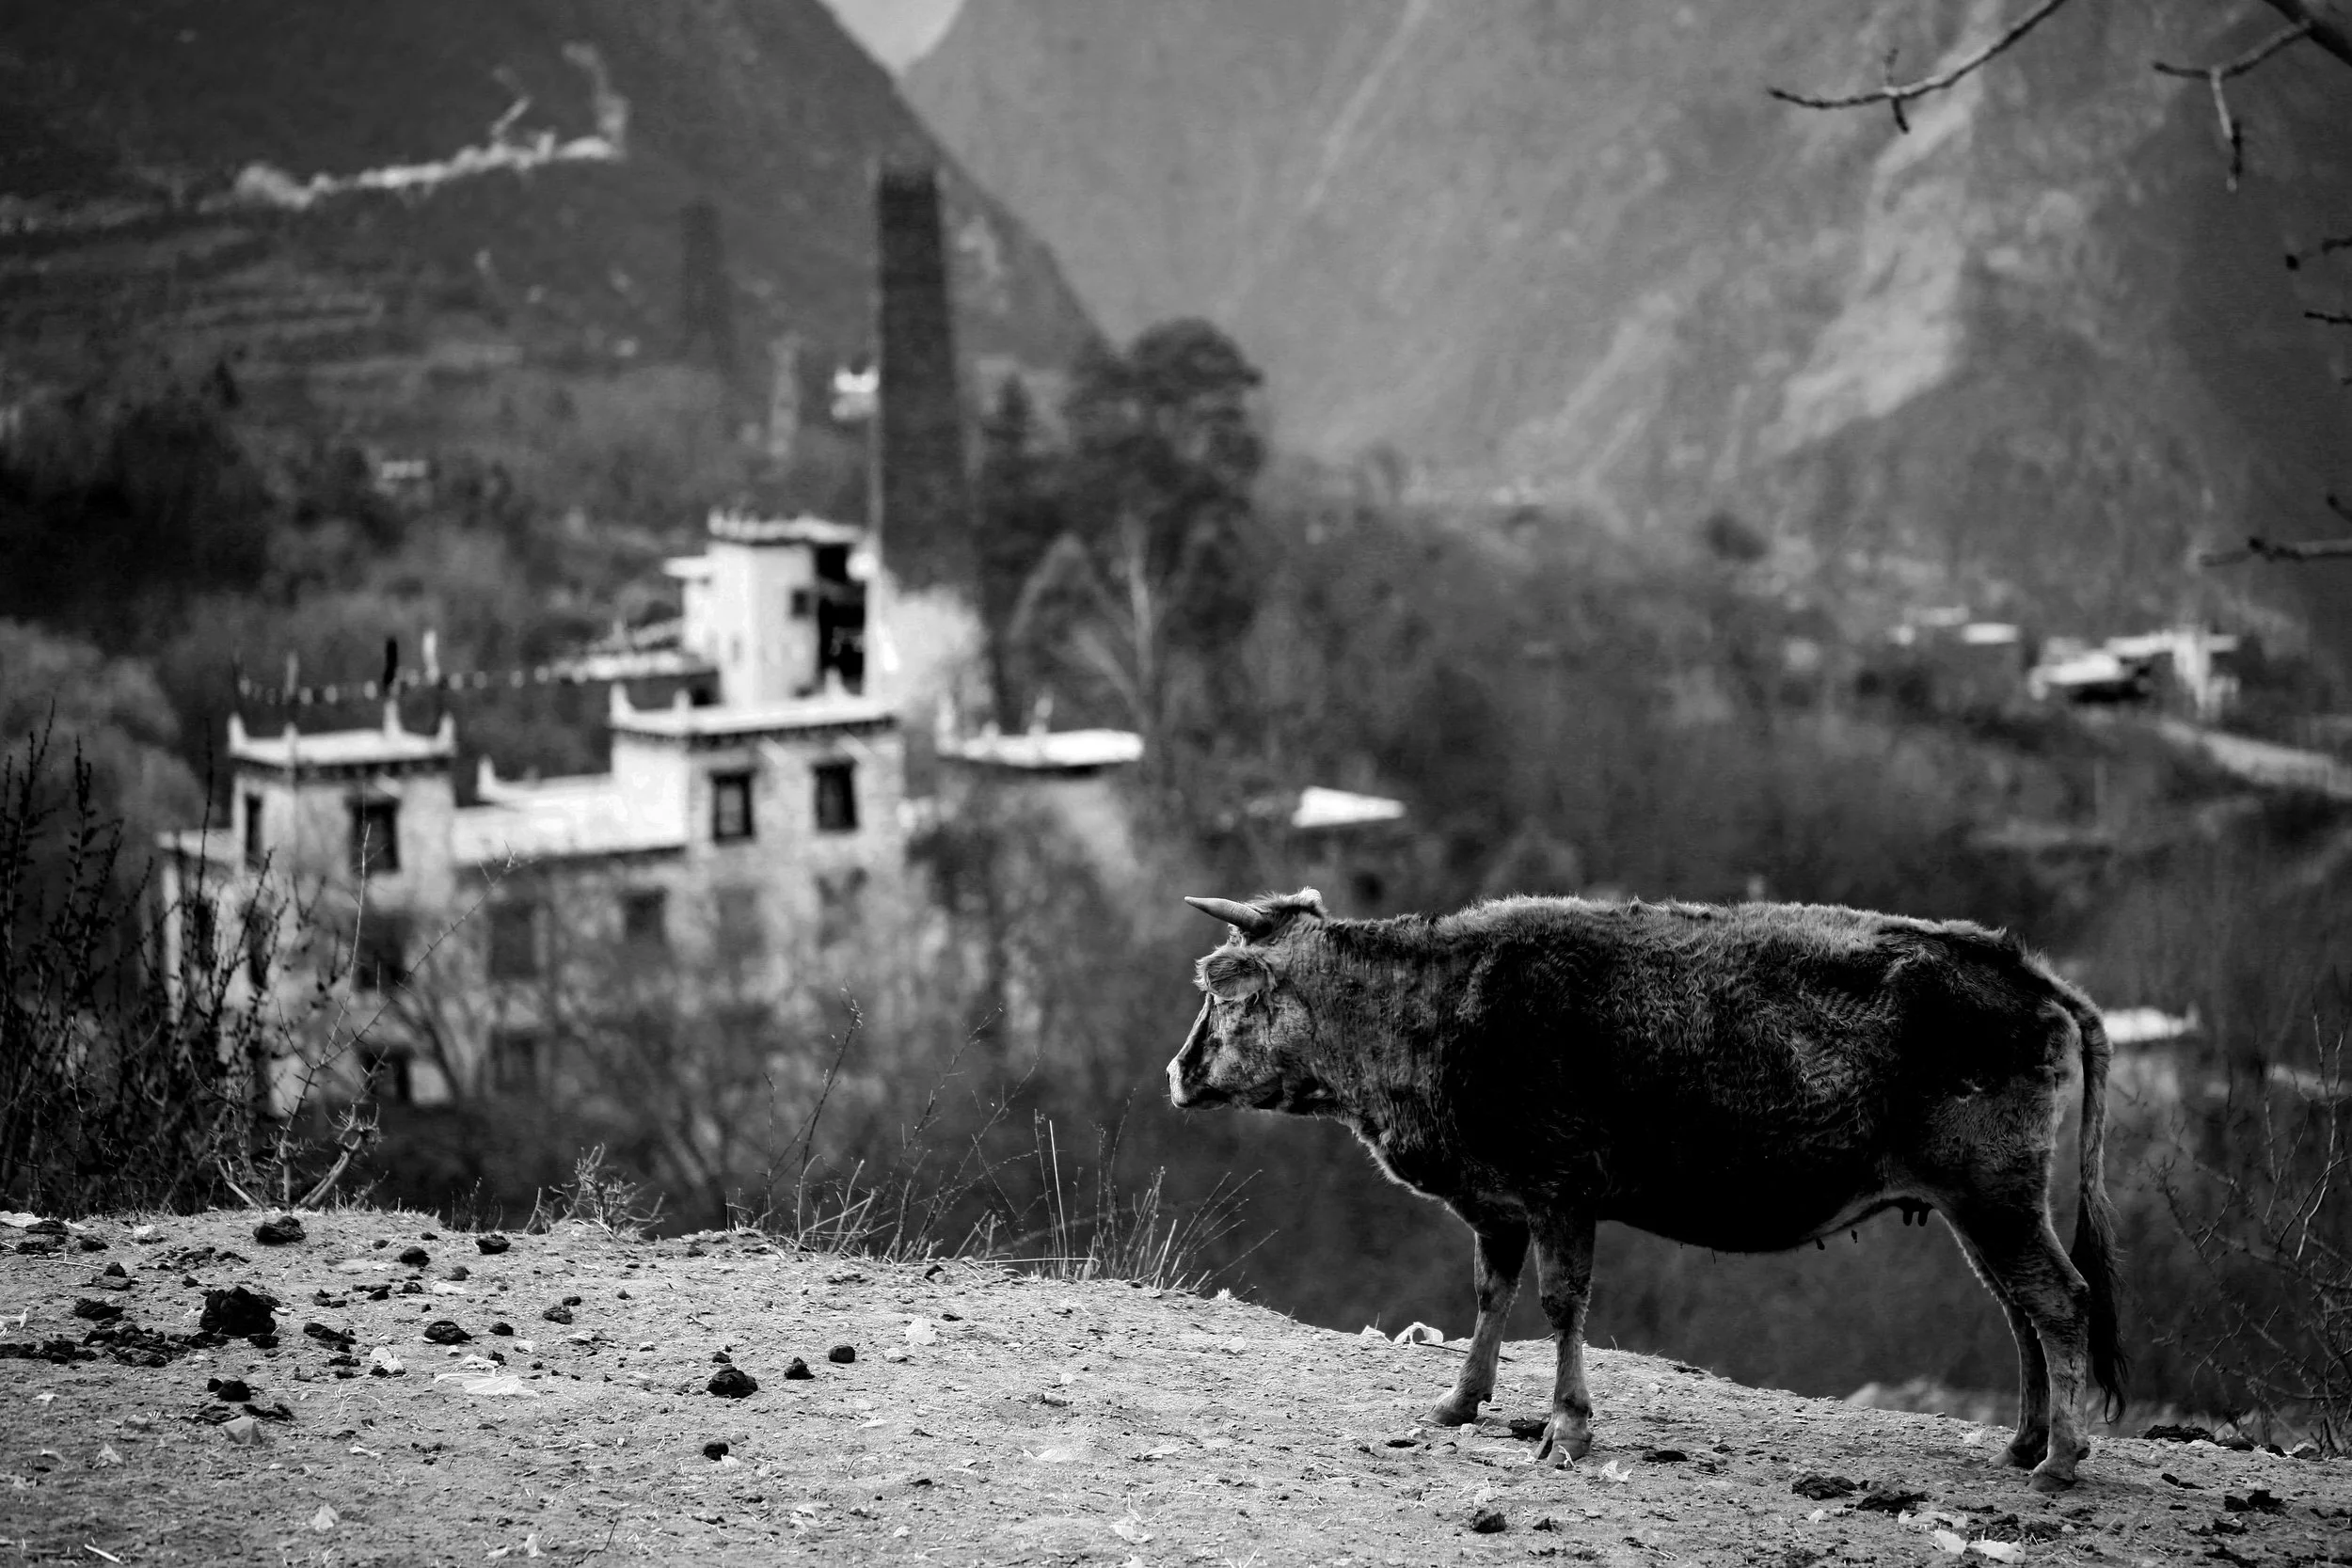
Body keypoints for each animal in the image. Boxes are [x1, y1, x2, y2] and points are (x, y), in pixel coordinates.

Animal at [1166, 888, 2125, 1493]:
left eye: (1220, 994)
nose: (1176, 1071)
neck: (1438, 1006)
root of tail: (2013, 963)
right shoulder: (1497, 1201)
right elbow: (1488, 1292)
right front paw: (1459, 1400)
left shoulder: (1560, 1191)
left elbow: (1560, 1302)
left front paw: (1568, 1427)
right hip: (1981, 1204)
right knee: (2019, 1308)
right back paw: (2024, 1441)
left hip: (1994, 1193)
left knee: (2059, 1299)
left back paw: (2061, 1457)